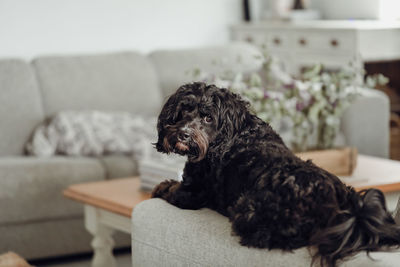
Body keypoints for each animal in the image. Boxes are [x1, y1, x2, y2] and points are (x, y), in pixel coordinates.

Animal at [151, 82, 400, 266]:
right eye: (183, 110)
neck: (237, 132)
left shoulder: (191, 193)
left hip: (249, 209)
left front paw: (161, 186)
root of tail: (343, 207)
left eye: (208, 118)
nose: (183, 134)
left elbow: (170, 188)